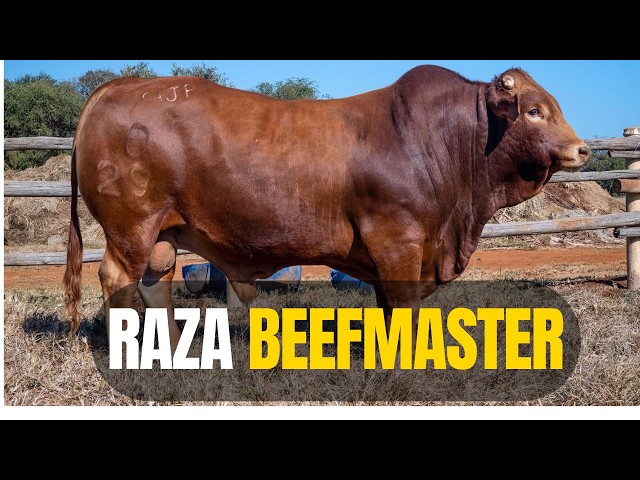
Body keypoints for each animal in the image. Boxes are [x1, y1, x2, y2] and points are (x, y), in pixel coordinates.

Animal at [63, 65, 591, 351]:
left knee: (155, 284)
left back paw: (174, 352)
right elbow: (403, 311)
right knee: (116, 279)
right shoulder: (399, 243)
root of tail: (118, 86)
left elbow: (388, 312)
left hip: (163, 233)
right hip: (132, 226)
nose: (582, 149)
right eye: (534, 111)